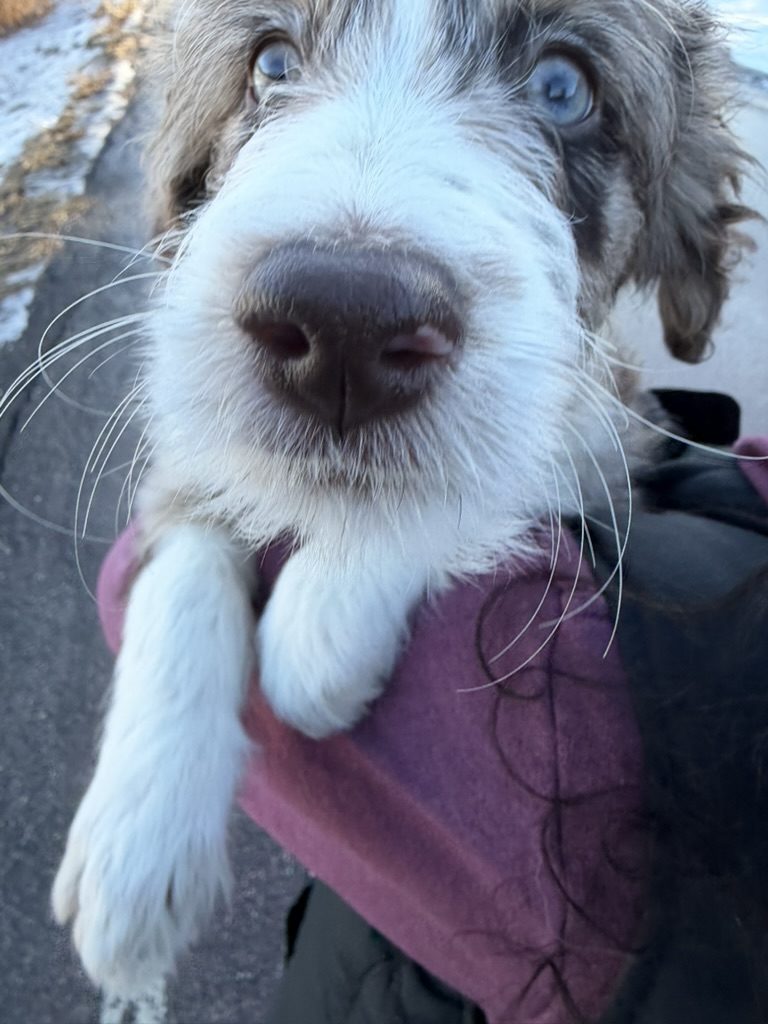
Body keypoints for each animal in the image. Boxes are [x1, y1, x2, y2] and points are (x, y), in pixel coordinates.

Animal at [51, 0, 752, 998]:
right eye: (270, 65)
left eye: (563, 88)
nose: (341, 323)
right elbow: (180, 556)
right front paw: (135, 850)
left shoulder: (620, 416)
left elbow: (512, 450)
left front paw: (323, 617)